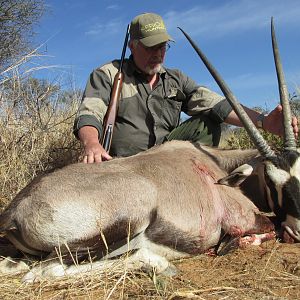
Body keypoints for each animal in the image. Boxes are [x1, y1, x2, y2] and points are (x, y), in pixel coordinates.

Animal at [0, 18, 298, 282]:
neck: (215, 165)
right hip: (125, 220)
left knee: (19, 266)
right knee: (46, 271)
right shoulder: (243, 217)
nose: (296, 231)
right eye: (271, 180)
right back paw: (162, 265)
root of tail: (14, 211)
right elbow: (266, 228)